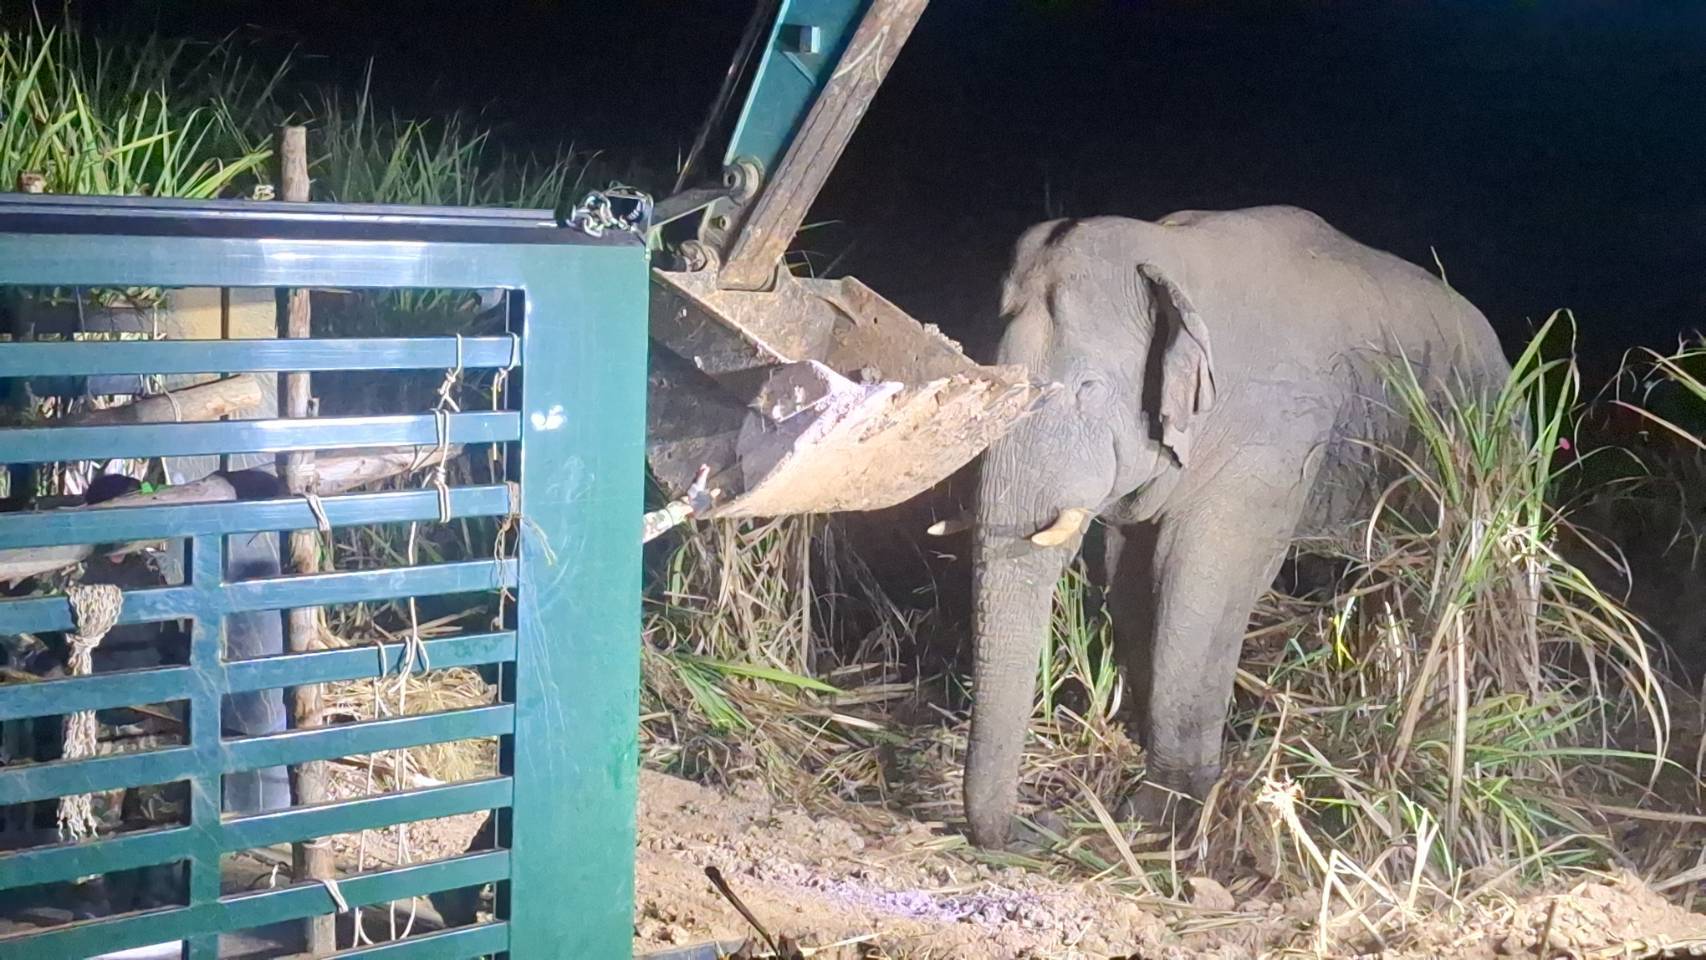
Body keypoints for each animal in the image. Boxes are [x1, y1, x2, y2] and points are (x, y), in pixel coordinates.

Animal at [962, 204, 1508, 849]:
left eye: (1087, 390)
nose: (1040, 824)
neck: (1172, 252)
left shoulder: (1271, 437)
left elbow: (1198, 572)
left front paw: (1163, 818)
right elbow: (1130, 572)